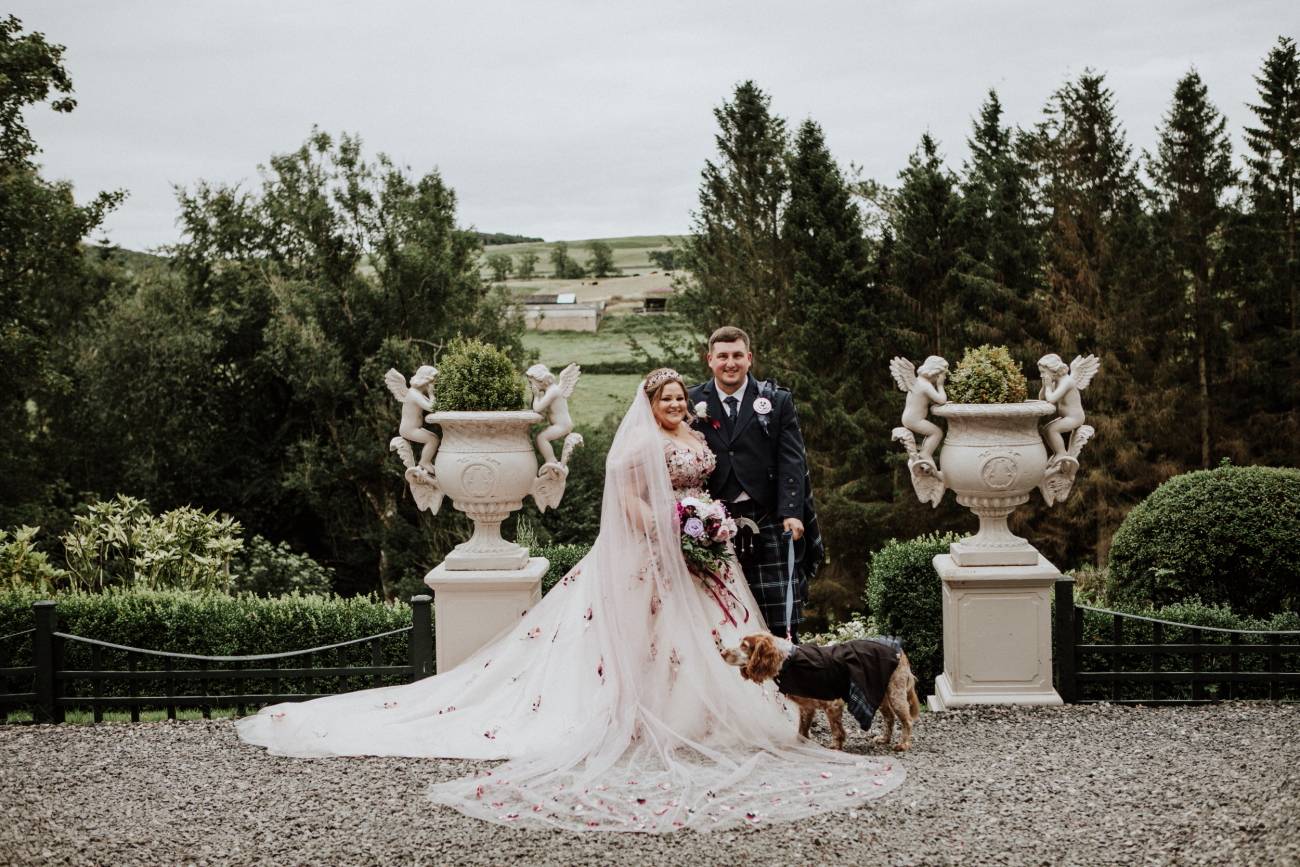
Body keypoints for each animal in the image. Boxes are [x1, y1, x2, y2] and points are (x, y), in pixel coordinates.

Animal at [721, 632, 920, 751]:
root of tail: (899, 650)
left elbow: (837, 730)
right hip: (880, 694)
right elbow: (802, 729)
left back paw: (903, 744)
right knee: (890, 718)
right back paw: (884, 739)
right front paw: (802, 745)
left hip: (895, 693)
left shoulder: (833, 703)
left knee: (907, 721)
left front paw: (835, 746)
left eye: (745, 646)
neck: (788, 662)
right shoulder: (807, 707)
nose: (722, 652)